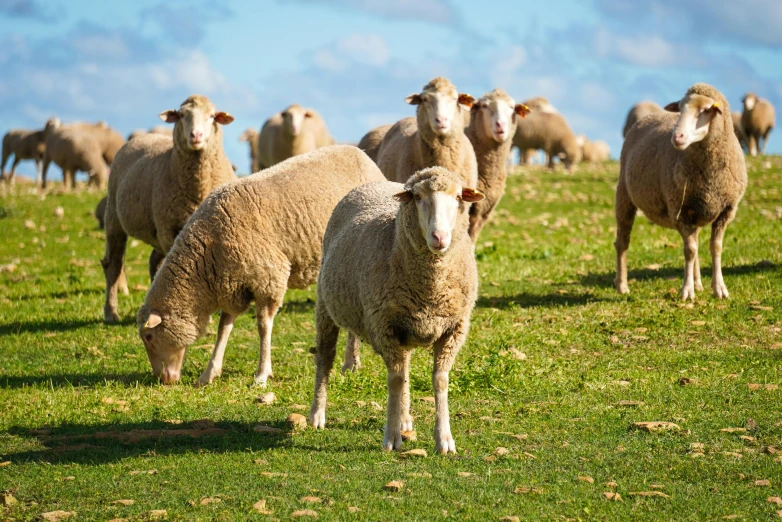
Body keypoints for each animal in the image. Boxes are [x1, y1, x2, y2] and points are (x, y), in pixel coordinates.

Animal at [104, 93, 239, 320]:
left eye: (212, 116)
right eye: (182, 115)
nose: (196, 135)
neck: (199, 187)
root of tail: (141, 137)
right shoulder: (169, 230)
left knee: (154, 262)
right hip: (115, 220)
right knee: (114, 264)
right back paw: (111, 312)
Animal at [139, 144, 388, 384]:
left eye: (149, 337)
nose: (162, 379)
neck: (207, 252)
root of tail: (360, 153)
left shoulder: (268, 278)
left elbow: (263, 326)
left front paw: (261, 374)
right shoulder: (232, 286)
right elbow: (223, 328)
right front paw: (209, 373)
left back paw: (350, 362)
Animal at [310, 166, 484, 450]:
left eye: (459, 197)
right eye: (417, 197)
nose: (439, 237)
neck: (431, 288)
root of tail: (371, 184)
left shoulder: (453, 330)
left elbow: (439, 379)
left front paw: (444, 439)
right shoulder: (384, 327)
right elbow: (394, 380)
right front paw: (391, 438)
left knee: (405, 367)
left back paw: (404, 419)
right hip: (325, 307)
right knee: (326, 357)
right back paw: (317, 414)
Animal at [616, 82, 752, 300]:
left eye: (705, 110)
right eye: (680, 109)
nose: (677, 136)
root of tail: (647, 116)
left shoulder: (726, 211)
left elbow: (715, 247)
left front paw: (719, 288)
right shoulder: (678, 210)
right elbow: (689, 250)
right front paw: (687, 291)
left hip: (695, 210)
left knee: (695, 241)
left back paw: (698, 283)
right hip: (624, 195)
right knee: (622, 242)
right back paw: (621, 285)